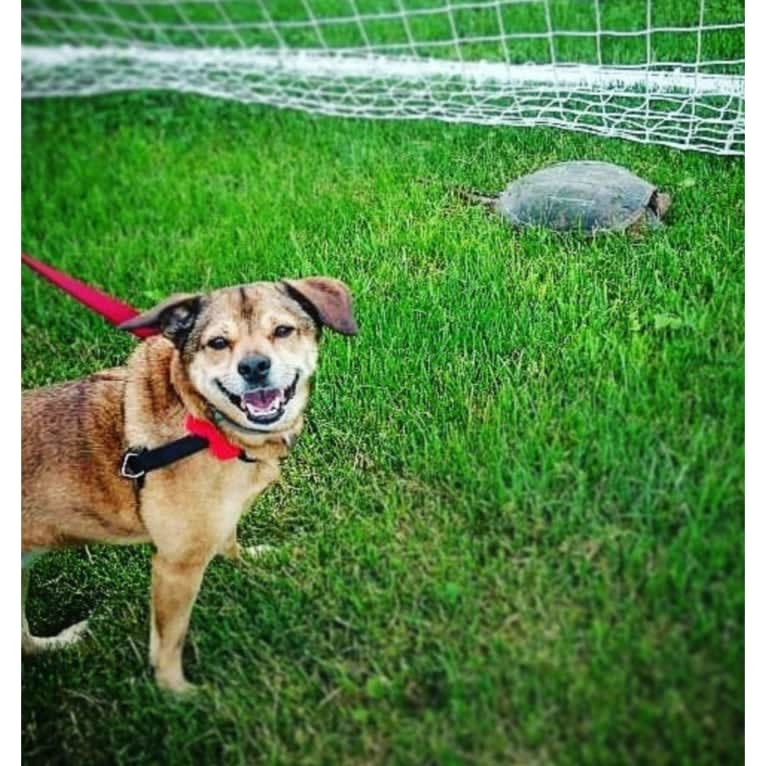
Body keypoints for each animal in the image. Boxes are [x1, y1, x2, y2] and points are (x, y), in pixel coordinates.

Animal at [21, 278, 356, 696]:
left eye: (282, 331)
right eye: (218, 343)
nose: (254, 367)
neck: (205, 423)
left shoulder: (218, 519)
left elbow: (230, 540)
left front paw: (249, 559)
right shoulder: (176, 567)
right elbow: (169, 642)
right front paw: (179, 693)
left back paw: (59, 642)